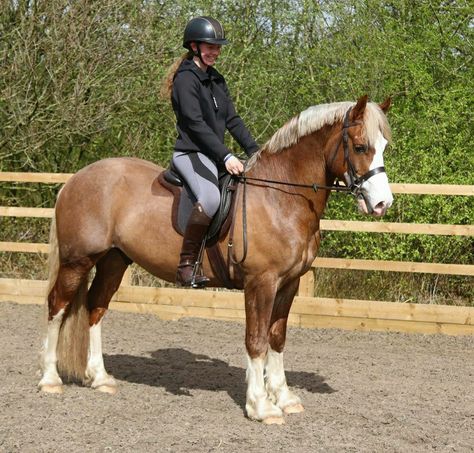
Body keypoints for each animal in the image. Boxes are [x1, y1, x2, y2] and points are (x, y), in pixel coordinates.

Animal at [38, 95, 392, 424]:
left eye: (384, 146)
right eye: (360, 147)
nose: (382, 204)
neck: (280, 197)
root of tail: (76, 179)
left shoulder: (289, 284)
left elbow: (277, 338)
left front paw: (284, 398)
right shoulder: (261, 283)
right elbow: (256, 340)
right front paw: (261, 406)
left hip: (114, 260)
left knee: (95, 308)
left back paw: (100, 378)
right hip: (77, 261)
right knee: (58, 306)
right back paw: (50, 379)